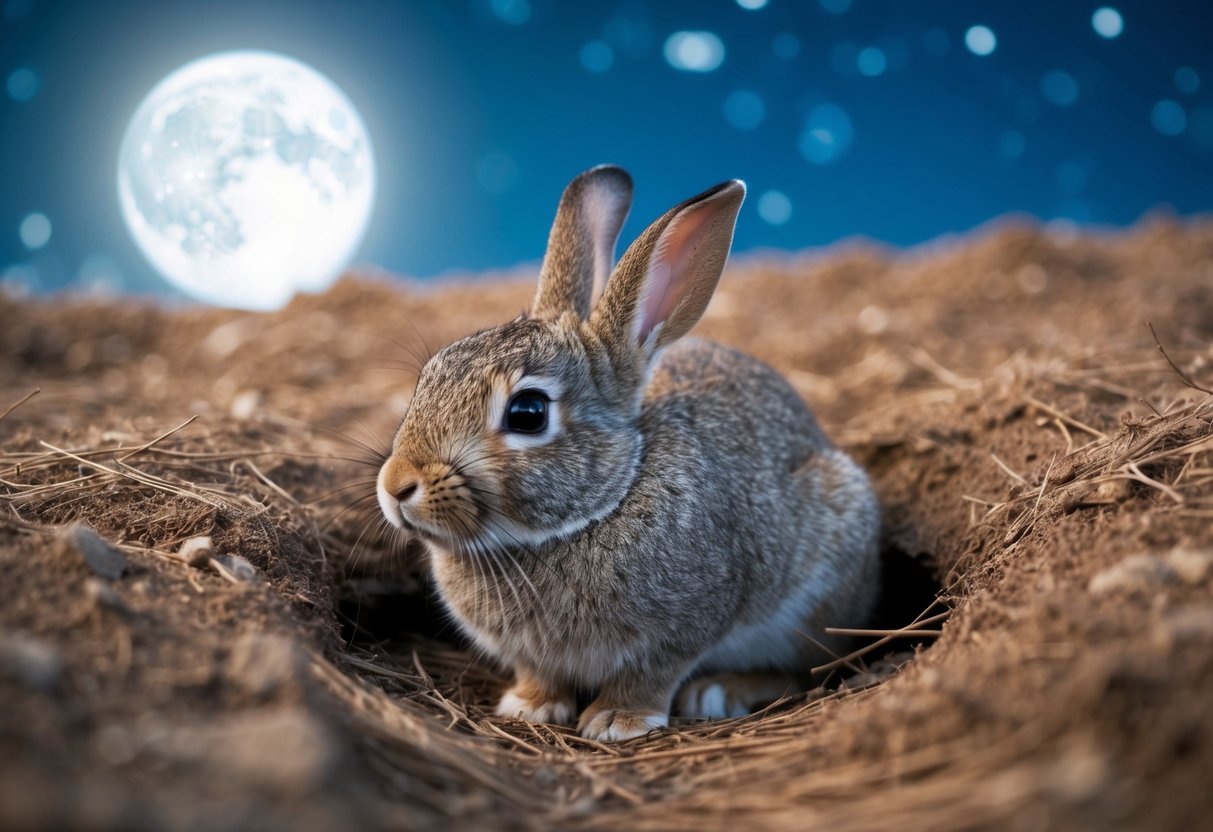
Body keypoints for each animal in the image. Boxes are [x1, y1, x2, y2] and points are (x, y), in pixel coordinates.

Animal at [377, 165, 881, 741]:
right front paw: (529, 706)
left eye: (528, 413)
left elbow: (652, 673)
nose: (395, 485)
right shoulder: (532, 654)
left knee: (804, 668)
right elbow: (538, 675)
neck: (603, 502)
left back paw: (720, 691)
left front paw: (618, 720)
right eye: (429, 376)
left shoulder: (684, 627)